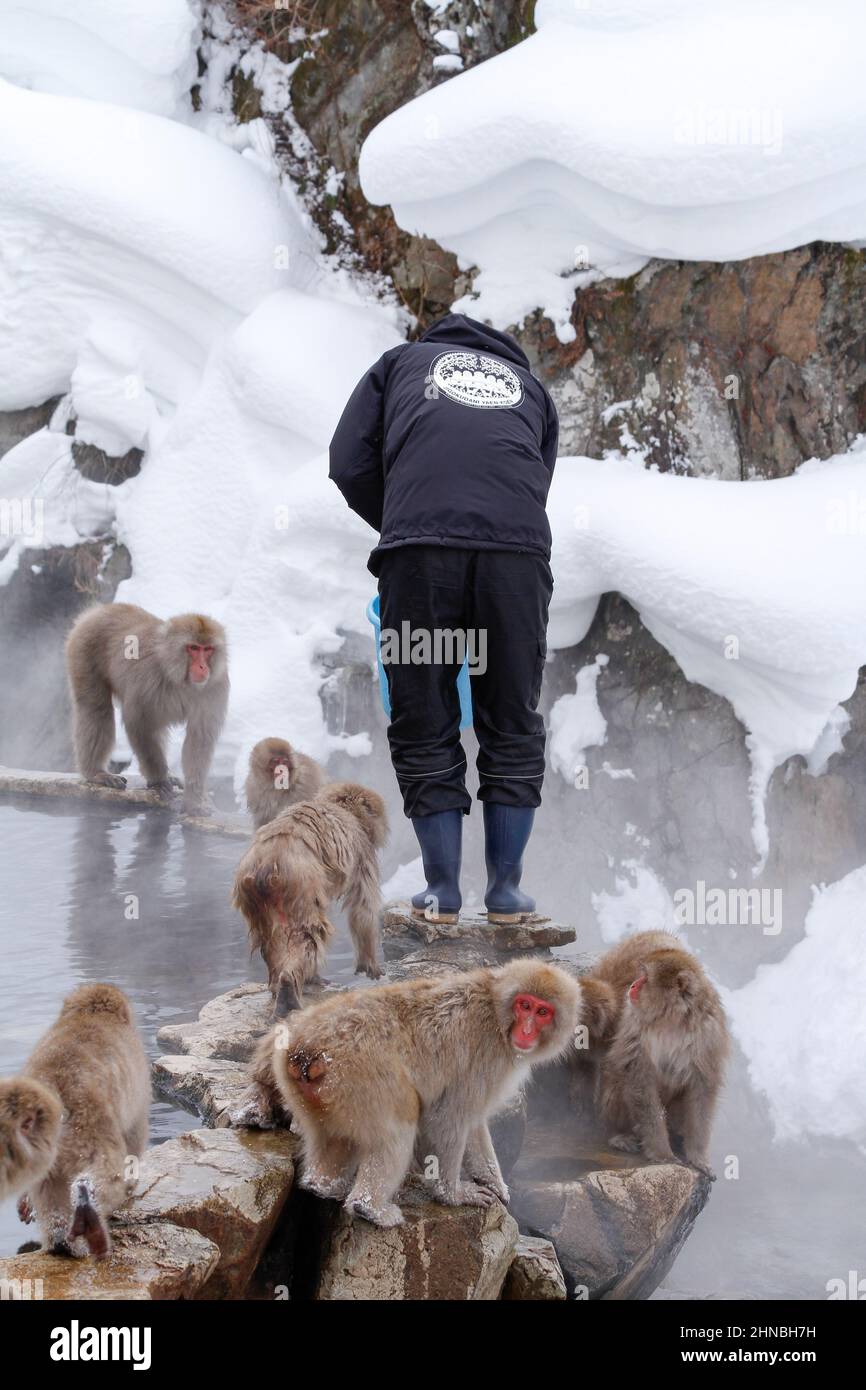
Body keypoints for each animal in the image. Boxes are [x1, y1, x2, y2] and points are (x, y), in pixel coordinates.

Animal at [0, 984, 150, 1267]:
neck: (91, 1011)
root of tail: (56, 1089)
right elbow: (135, 1138)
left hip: (48, 1146)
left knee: (48, 1186)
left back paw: (61, 1241)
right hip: (90, 1126)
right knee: (107, 1167)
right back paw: (89, 1209)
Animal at [66, 606, 229, 817]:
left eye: (207, 649)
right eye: (193, 648)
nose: (202, 667)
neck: (176, 676)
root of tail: (101, 609)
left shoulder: (216, 686)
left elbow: (200, 738)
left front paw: (193, 801)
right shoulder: (146, 678)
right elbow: (139, 725)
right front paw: (159, 781)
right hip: (84, 647)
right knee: (96, 708)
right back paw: (96, 773)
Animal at [233, 778, 389, 1017]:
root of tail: (268, 863)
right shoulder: (363, 851)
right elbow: (363, 907)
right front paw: (369, 964)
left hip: (251, 892)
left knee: (269, 937)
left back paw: (277, 985)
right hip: (299, 885)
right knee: (309, 934)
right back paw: (291, 987)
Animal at [252, 956, 583, 1228]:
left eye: (542, 1011)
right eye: (524, 1005)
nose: (526, 1030)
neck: (496, 1011)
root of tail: (305, 1050)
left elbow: (474, 1123)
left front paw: (493, 1181)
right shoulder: (486, 1057)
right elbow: (448, 1117)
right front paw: (453, 1193)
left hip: (310, 1090)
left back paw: (324, 1186)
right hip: (358, 1072)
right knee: (400, 1121)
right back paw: (369, 1208)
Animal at [589, 934, 733, 1173]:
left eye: (645, 978)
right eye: (640, 975)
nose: (633, 985)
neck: (672, 1020)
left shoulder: (708, 1032)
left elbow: (702, 1087)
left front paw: (697, 1156)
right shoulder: (636, 1025)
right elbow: (640, 1081)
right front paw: (662, 1153)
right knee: (619, 1082)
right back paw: (619, 1134)